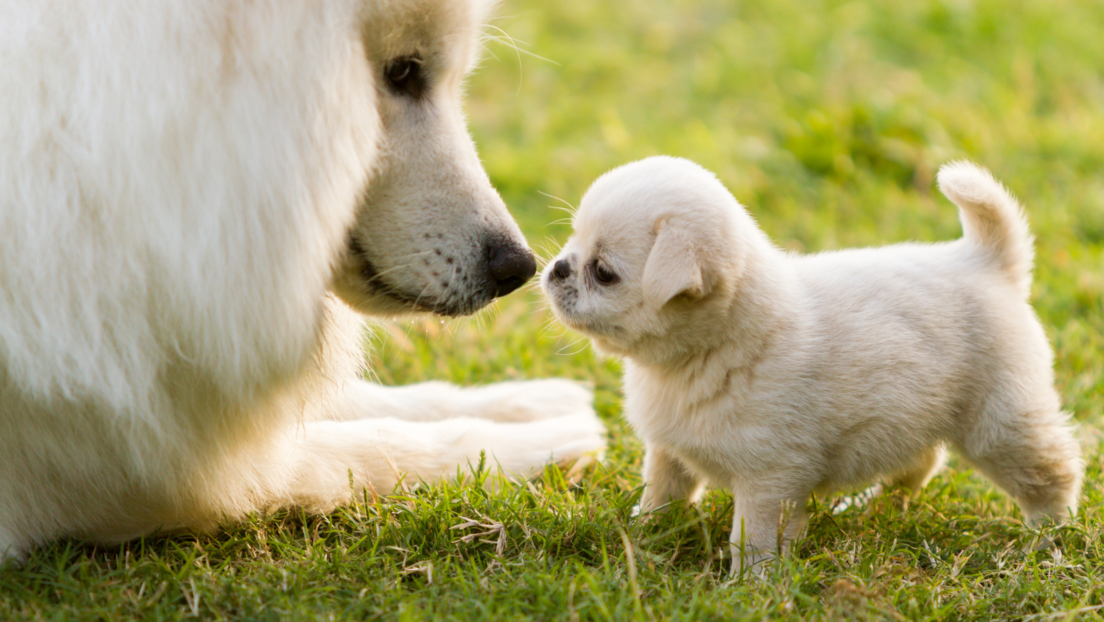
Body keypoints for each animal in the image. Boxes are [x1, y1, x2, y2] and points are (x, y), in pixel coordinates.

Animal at [0, 1, 604, 565]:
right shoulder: (125, 470)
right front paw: (534, 445)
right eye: (403, 72)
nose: (517, 268)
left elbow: (363, 402)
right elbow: (369, 448)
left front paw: (524, 401)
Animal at [547, 155, 1081, 570]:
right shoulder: (669, 454)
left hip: (1000, 426)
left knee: (1051, 473)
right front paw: (642, 537)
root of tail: (986, 261)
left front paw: (751, 587)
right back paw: (874, 504)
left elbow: (752, 539)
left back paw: (1047, 537)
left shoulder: (768, 481)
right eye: (572, 243)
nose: (556, 268)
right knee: (922, 462)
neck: (702, 353)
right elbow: (660, 496)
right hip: (912, 416)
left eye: (603, 273)